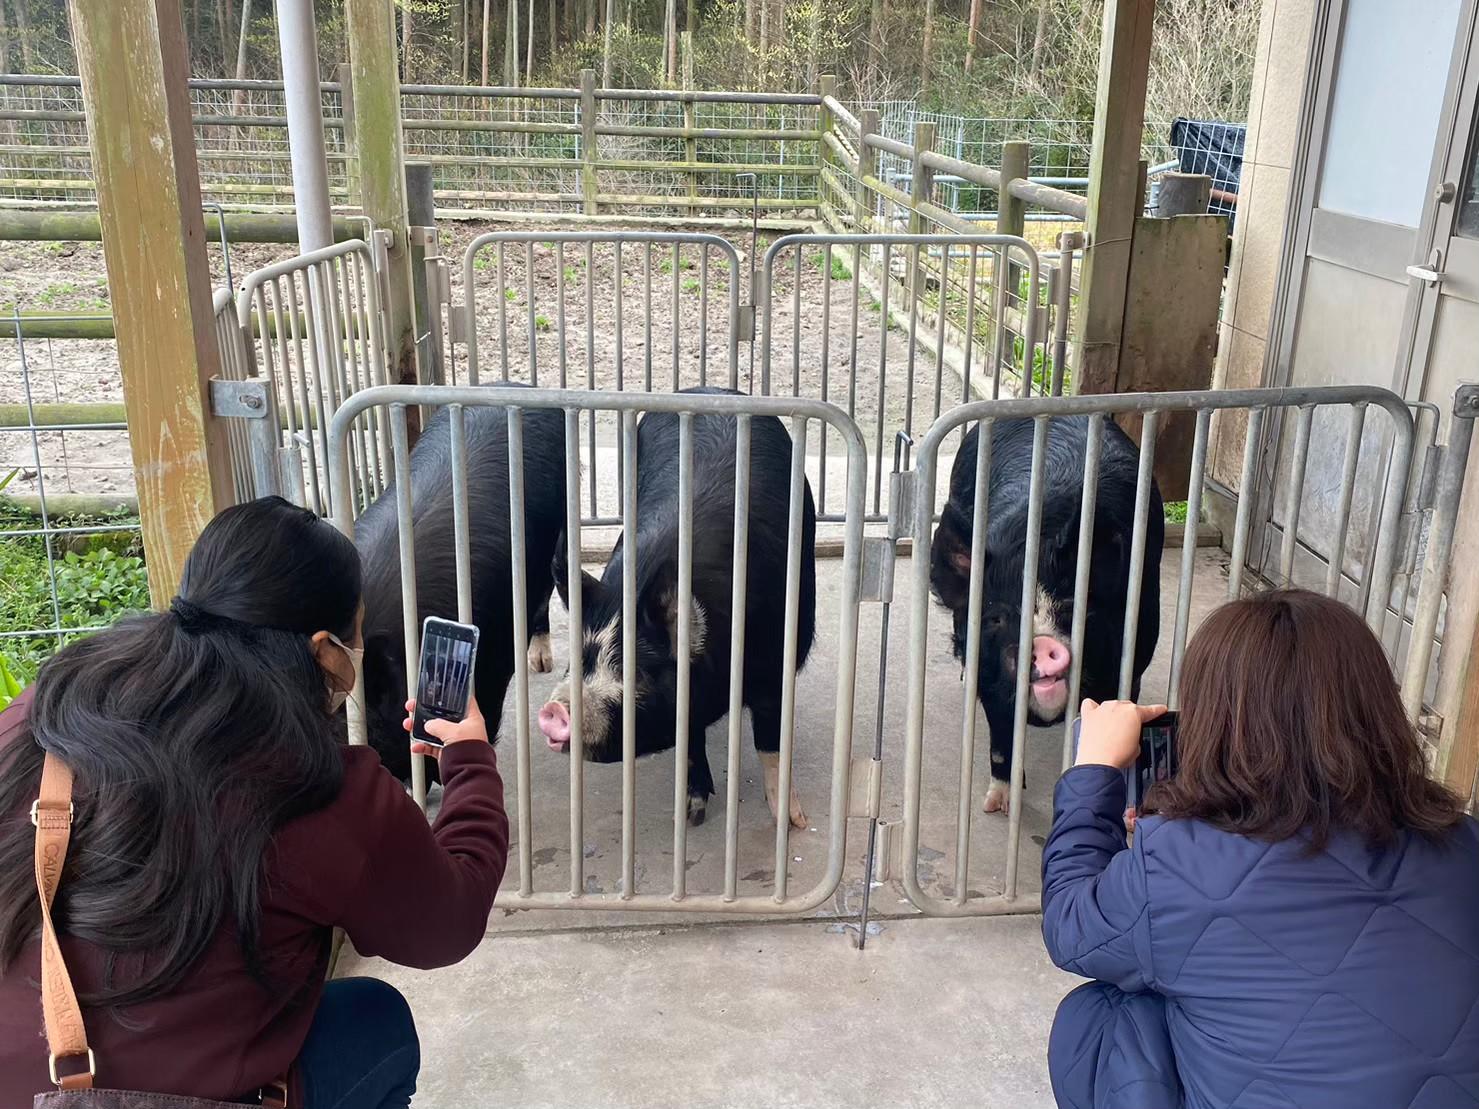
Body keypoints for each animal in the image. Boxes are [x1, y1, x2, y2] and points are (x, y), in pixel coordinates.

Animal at [928, 416, 1159, 816]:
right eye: (995, 618)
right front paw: (999, 807)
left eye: (1070, 608)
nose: (1041, 645)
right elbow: (1001, 741)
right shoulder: (991, 677)